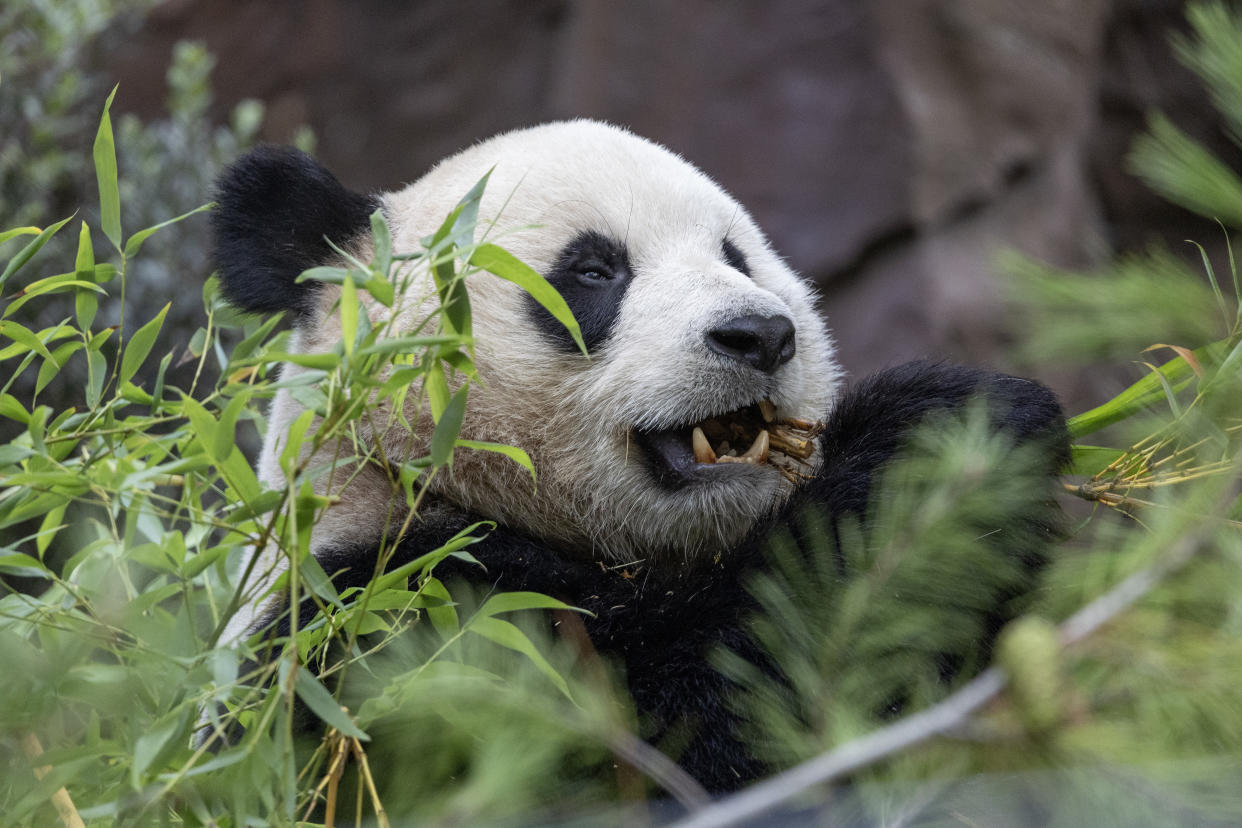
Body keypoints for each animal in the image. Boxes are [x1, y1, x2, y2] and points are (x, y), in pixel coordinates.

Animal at [206, 119, 1068, 794]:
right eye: (594, 270)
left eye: (738, 257)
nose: (760, 335)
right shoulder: (385, 616)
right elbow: (678, 725)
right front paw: (945, 437)